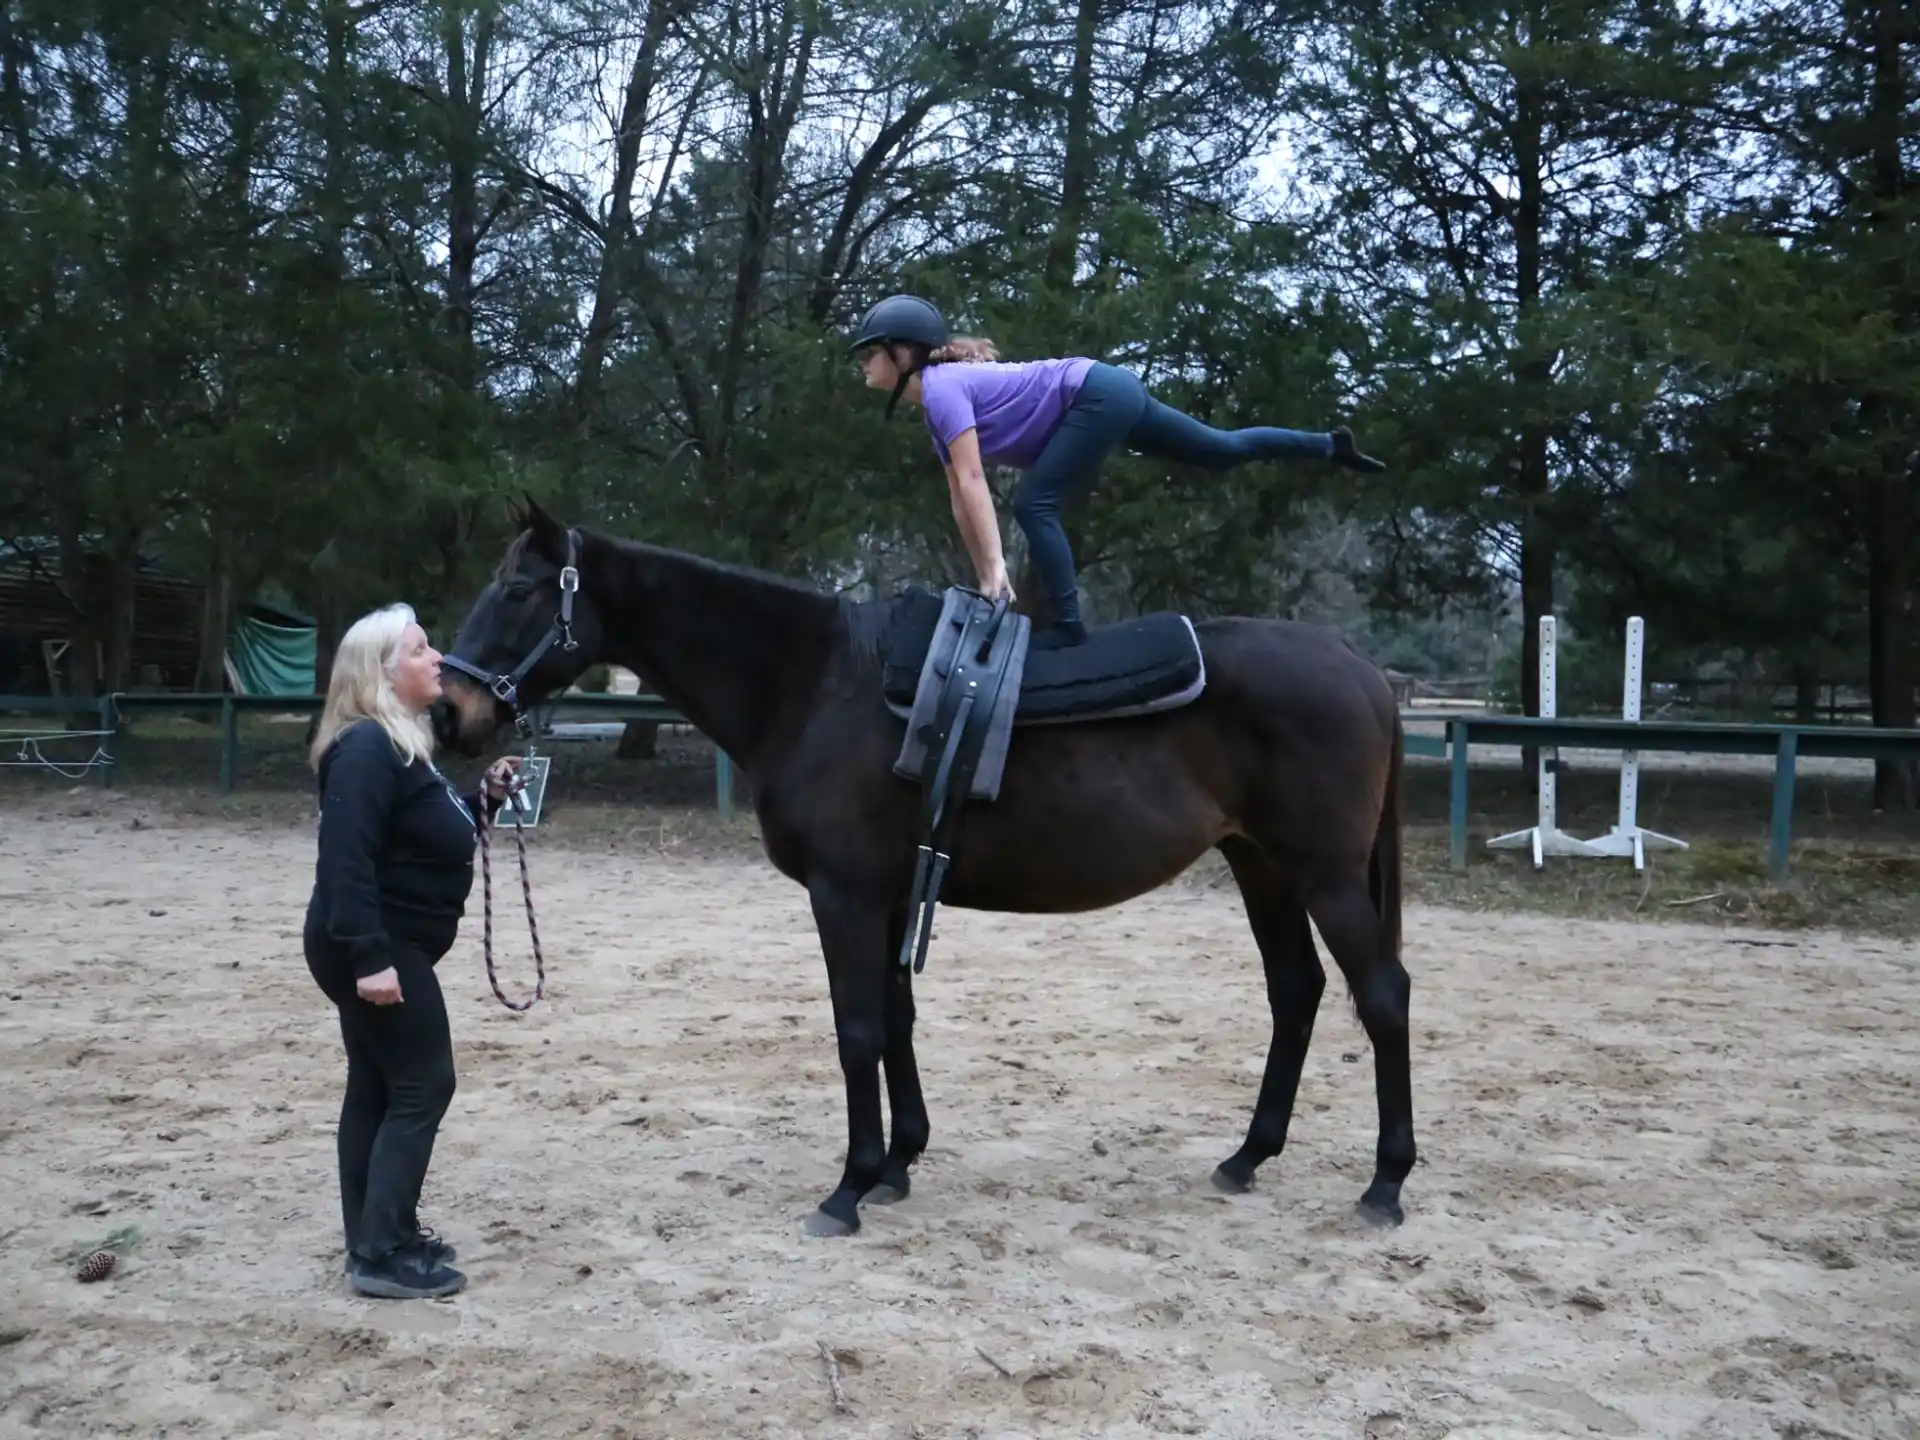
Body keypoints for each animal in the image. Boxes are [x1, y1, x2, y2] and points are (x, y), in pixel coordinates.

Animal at [433, 500, 1415, 1239]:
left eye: (518, 589)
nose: (449, 712)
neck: (815, 683)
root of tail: (1364, 667)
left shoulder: (846, 895)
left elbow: (858, 1027)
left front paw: (850, 1186)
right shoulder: (894, 890)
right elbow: (897, 1018)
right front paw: (900, 1161)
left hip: (1323, 876)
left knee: (1382, 995)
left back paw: (1385, 1184)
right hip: (1263, 867)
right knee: (1295, 991)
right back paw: (1247, 1157)